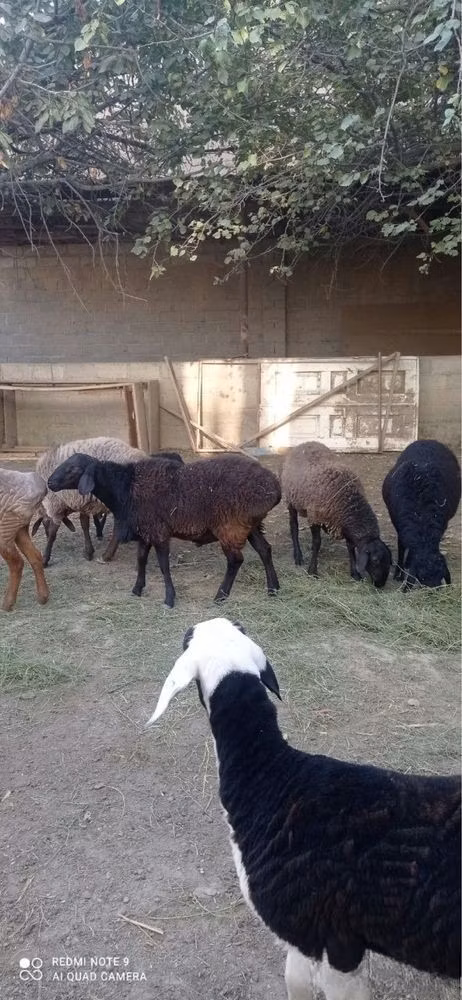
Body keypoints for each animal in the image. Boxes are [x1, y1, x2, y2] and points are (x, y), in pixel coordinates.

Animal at [0, 468, 49, 611]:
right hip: (20, 527)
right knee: (35, 556)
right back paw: (43, 597)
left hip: (6, 528)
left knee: (17, 563)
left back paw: (7, 604)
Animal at [47, 452, 281, 607]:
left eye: (74, 469)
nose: (50, 482)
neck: (124, 488)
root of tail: (274, 490)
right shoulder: (144, 531)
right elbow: (141, 560)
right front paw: (137, 589)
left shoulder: (158, 532)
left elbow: (163, 566)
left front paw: (169, 598)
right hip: (250, 525)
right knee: (265, 550)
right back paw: (273, 589)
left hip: (230, 526)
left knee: (235, 560)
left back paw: (220, 596)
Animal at [281, 441, 392, 588]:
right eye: (375, 561)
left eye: (389, 561)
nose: (381, 584)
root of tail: (305, 443)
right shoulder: (315, 517)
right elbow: (317, 542)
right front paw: (312, 571)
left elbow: (350, 547)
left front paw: (354, 574)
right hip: (291, 501)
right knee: (293, 526)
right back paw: (298, 556)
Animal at [382, 439, 461, 589]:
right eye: (422, 577)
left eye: (441, 575)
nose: (434, 591)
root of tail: (428, 440)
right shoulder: (398, 524)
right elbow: (401, 547)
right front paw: (398, 574)